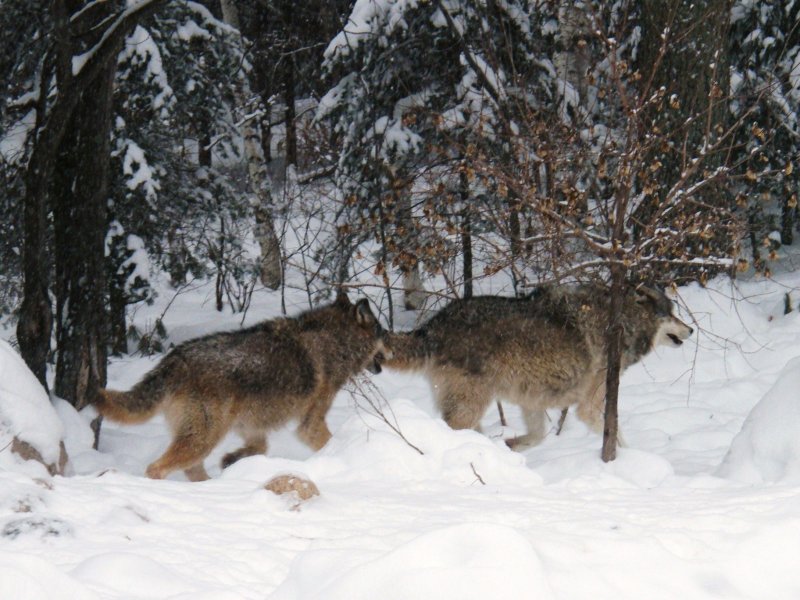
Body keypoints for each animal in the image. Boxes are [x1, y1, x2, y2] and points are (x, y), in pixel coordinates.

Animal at [95, 292, 390, 480]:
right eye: (383, 332)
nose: (388, 355)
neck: (336, 344)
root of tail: (175, 358)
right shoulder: (310, 423)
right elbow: (328, 444)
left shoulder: (252, 426)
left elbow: (259, 449)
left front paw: (232, 460)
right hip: (203, 438)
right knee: (157, 468)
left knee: (191, 469)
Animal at [382, 284, 692, 448]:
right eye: (671, 314)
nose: (690, 330)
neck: (621, 323)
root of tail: (433, 325)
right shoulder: (589, 405)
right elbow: (617, 438)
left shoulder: (531, 399)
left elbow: (537, 436)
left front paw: (507, 449)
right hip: (471, 403)